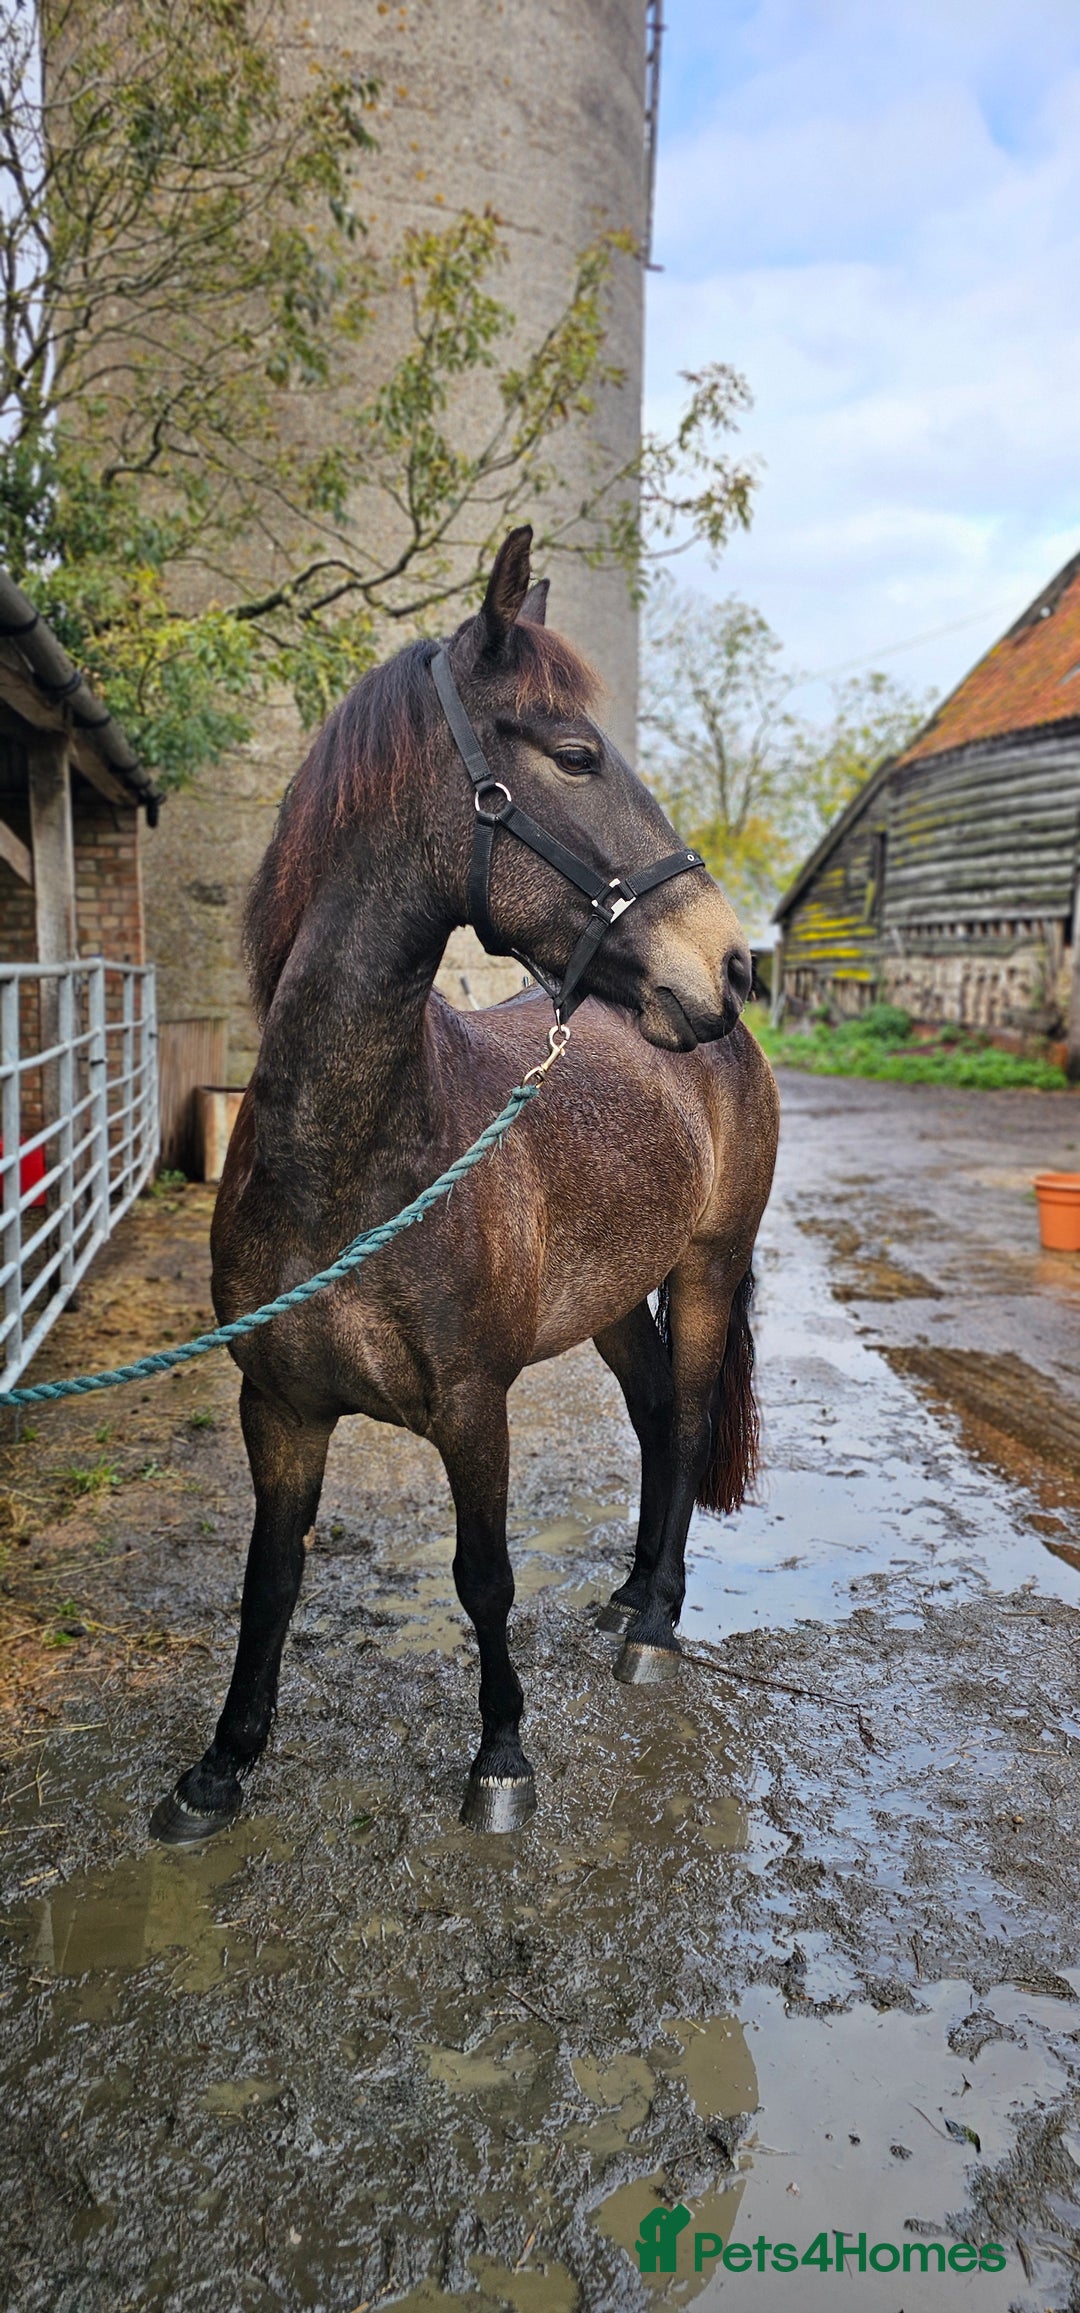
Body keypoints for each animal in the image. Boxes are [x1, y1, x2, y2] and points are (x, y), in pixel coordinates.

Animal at [150, 526, 779, 1844]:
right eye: (576, 755)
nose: (732, 965)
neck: (353, 1170)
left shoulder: (474, 1408)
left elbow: (482, 1576)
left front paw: (501, 1758)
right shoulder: (277, 1408)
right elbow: (268, 1580)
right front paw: (221, 1765)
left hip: (706, 1271)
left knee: (693, 1421)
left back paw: (655, 1626)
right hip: (614, 1305)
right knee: (658, 1418)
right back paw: (627, 1594)